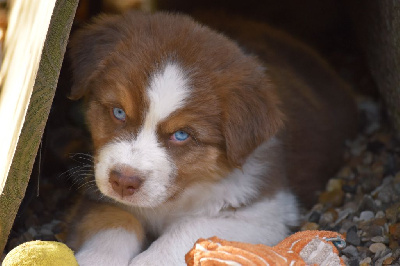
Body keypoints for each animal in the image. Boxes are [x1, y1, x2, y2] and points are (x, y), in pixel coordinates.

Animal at [65, 11, 356, 264]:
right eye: (118, 112)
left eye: (182, 135)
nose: (124, 182)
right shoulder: (98, 192)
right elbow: (114, 223)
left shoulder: (265, 211)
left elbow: (189, 229)